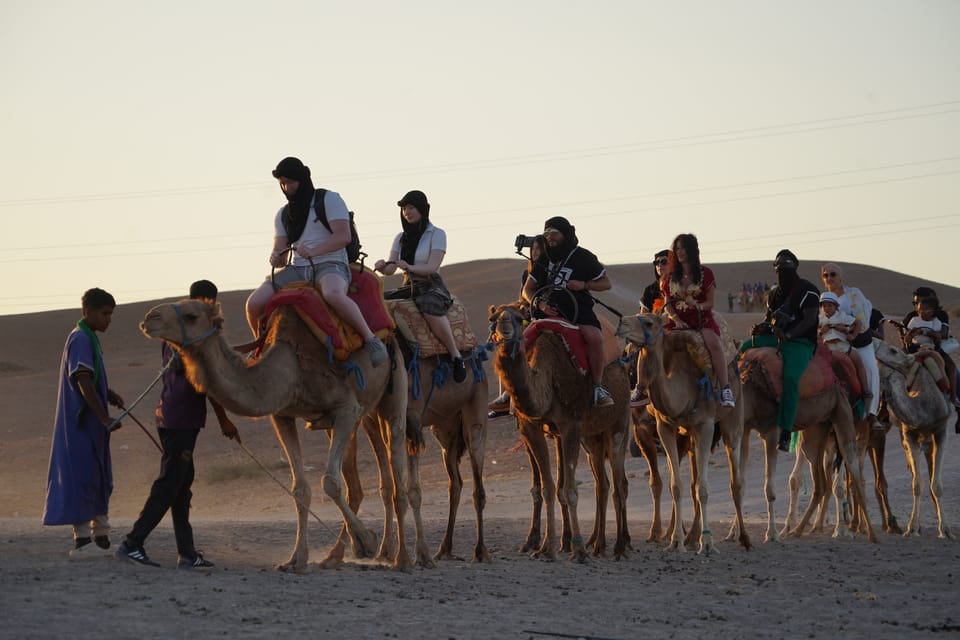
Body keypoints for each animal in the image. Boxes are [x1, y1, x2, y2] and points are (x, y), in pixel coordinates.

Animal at [140, 298, 412, 572]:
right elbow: (300, 489)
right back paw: (351, 555)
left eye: (191, 315)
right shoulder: (283, 416)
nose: (149, 318)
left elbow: (330, 482)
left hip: (393, 385)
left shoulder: (346, 408)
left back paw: (403, 558)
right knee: (369, 476)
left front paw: (367, 541)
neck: (292, 370)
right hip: (362, 416)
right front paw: (296, 560)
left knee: (396, 458)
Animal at [488, 304, 632, 560]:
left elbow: (570, 489)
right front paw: (546, 546)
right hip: (591, 438)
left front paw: (577, 550)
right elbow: (548, 488)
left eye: (518, 317)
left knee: (619, 484)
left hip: (619, 423)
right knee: (602, 484)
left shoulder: (570, 426)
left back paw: (619, 546)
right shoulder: (531, 427)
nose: (504, 331)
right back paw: (598, 543)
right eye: (493, 319)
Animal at [616, 312, 752, 552]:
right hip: (689, 438)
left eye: (649, 322)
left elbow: (703, 488)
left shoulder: (705, 425)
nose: (622, 322)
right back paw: (691, 537)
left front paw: (706, 543)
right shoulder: (664, 428)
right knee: (693, 482)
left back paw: (742, 537)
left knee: (735, 482)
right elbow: (676, 486)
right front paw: (675, 540)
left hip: (732, 422)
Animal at [876, 338, 952, 536]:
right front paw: (912, 527)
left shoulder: (941, 431)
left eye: (893, 350)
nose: (873, 340)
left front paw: (945, 529)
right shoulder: (909, 433)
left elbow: (937, 486)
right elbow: (916, 484)